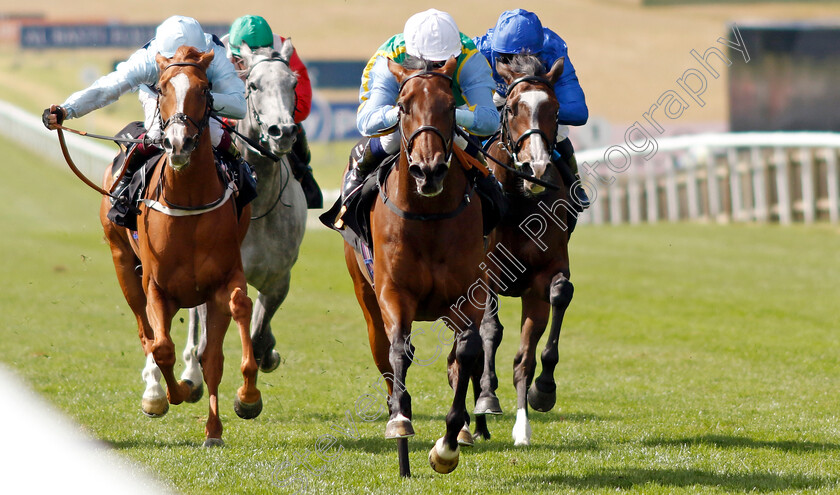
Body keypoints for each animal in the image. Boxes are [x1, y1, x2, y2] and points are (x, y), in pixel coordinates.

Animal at [99, 46, 260, 448]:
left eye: (204, 89)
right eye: (162, 88)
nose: (178, 143)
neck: (188, 201)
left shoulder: (224, 279)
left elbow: (234, 319)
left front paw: (243, 403)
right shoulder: (157, 287)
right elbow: (161, 347)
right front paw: (176, 393)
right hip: (123, 264)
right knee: (147, 334)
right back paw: (156, 395)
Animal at [342, 56, 486, 474]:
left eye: (450, 107)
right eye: (403, 107)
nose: (429, 170)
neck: (428, 217)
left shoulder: (468, 295)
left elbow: (468, 350)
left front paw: (448, 445)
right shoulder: (394, 292)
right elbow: (399, 350)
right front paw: (400, 420)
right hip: (366, 296)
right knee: (384, 356)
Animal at [470, 53, 576, 446]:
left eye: (555, 109)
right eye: (513, 108)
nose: (537, 167)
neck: (519, 204)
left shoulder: (541, 279)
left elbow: (527, 356)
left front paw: (539, 396)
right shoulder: (485, 274)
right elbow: (490, 330)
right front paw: (488, 396)